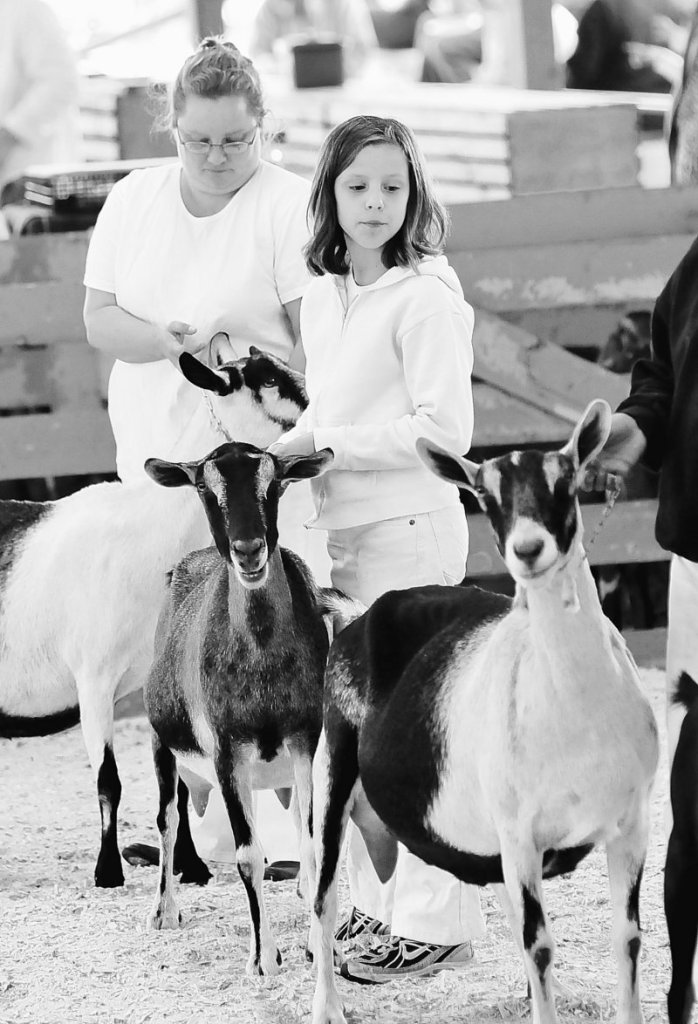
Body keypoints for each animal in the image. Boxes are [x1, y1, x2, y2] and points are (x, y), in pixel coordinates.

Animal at [0, 346, 304, 888]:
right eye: (266, 378)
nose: (314, 401)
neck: (143, 530)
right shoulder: (94, 679)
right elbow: (109, 781)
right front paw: (108, 872)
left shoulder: (156, 680)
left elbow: (179, 781)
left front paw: (191, 866)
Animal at [141, 438, 350, 974]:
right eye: (203, 488)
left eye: (273, 484)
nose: (249, 550)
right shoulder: (225, 749)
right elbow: (247, 854)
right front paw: (264, 957)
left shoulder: (306, 739)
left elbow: (313, 843)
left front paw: (319, 946)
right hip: (161, 741)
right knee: (168, 820)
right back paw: (164, 910)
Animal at [309, 397, 659, 1024]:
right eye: (486, 496)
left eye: (565, 481)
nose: (527, 549)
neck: (577, 713)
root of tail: (358, 614)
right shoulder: (520, 834)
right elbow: (539, 945)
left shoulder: (631, 824)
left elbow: (627, 939)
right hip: (332, 766)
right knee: (321, 899)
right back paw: (326, 1006)